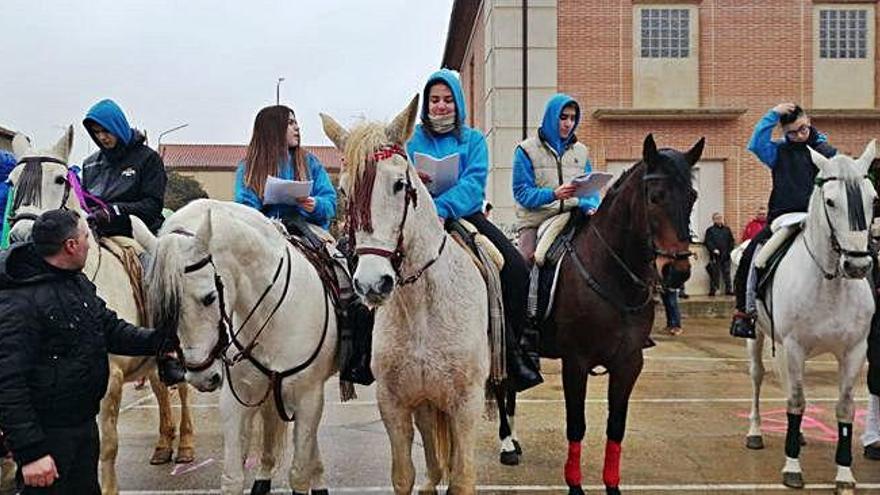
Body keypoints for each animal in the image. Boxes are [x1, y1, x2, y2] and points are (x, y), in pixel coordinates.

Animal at [5, 129, 192, 495]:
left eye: (60, 179)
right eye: (11, 181)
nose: (20, 237)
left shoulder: (111, 380)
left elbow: (107, 445)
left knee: (183, 390)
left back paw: (187, 445)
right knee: (160, 388)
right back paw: (163, 445)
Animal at [136, 200, 338, 494]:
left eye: (209, 297)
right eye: (161, 305)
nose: (201, 376)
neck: (271, 313)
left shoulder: (308, 396)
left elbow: (299, 473)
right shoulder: (237, 397)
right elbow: (231, 476)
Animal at [322, 98, 488, 495]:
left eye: (400, 185)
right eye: (344, 191)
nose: (372, 284)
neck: (422, 310)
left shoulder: (467, 405)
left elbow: (463, 478)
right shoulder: (395, 404)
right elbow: (404, 475)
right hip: (426, 404)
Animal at [552, 134, 704, 494]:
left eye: (692, 196)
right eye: (655, 196)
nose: (677, 271)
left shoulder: (629, 362)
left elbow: (616, 426)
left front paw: (612, 484)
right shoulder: (575, 361)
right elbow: (576, 425)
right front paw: (574, 484)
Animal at [744, 139, 876, 492]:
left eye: (873, 199)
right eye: (830, 201)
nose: (857, 265)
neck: (829, 282)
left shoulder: (855, 350)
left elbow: (844, 407)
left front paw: (844, 473)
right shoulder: (794, 346)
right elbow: (796, 401)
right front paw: (792, 467)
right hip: (756, 337)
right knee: (759, 377)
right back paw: (755, 432)